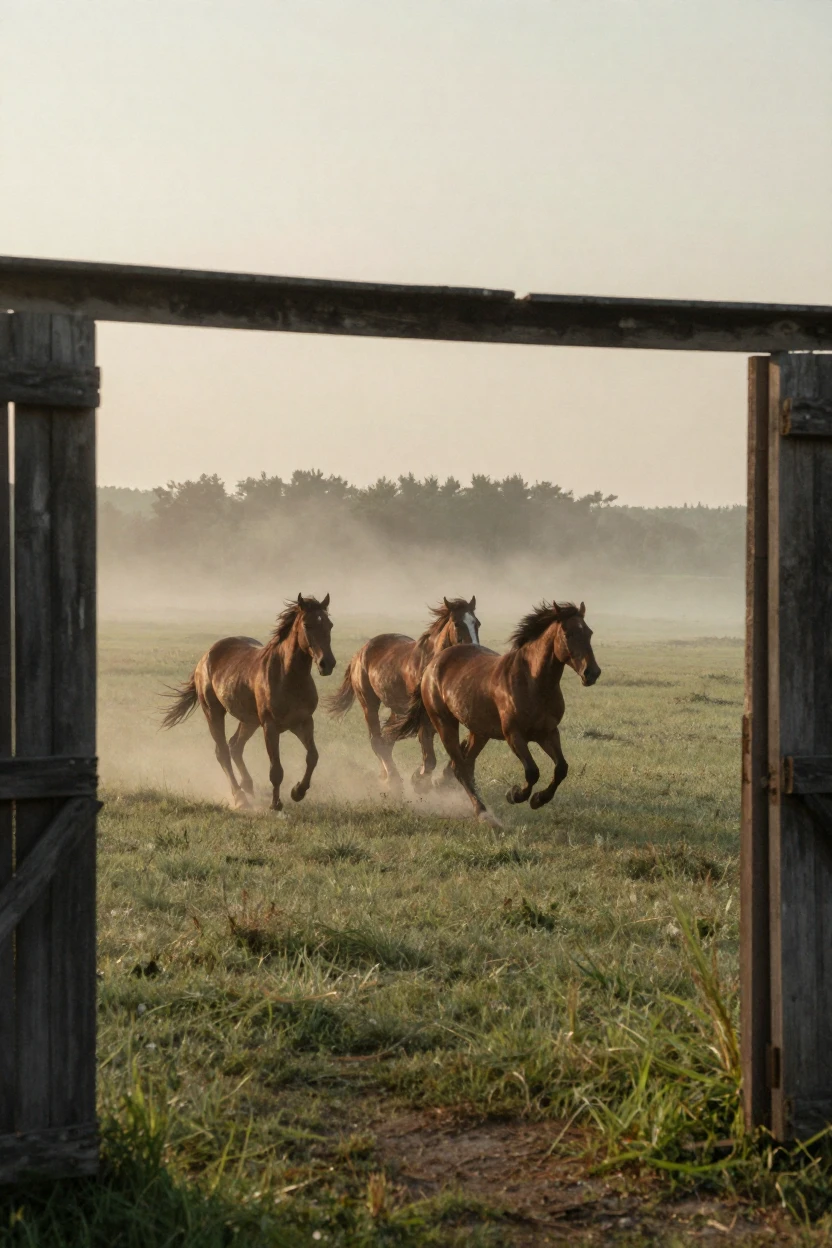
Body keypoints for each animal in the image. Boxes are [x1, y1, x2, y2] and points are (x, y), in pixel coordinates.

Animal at [161, 594, 335, 810]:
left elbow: (312, 757)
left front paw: (298, 791)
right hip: (214, 712)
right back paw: (240, 797)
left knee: (235, 746)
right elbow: (276, 769)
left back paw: (248, 786)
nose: (327, 664)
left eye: (329, 625)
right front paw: (275, 804)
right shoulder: (270, 726)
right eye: (307, 624)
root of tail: (204, 658)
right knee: (223, 752)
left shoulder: (303, 722)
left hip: (249, 721)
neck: (288, 677)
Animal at [326, 596, 480, 789]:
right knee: (377, 740)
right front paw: (419, 780)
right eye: (457, 623)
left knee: (386, 739)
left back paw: (385, 775)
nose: (473, 651)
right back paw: (393, 778)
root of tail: (359, 653)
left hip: (397, 710)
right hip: (369, 703)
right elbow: (429, 758)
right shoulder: (424, 718)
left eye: (477, 623)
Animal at [388, 600, 600, 822]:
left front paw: (538, 799)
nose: (592, 673)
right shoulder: (514, 734)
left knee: (464, 765)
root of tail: (433, 663)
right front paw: (515, 794)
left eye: (589, 632)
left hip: (479, 731)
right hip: (445, 723)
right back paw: (483, 813)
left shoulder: (548, 733)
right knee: (460, 767)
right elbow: (532, 771)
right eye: (568, 633)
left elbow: (561, 768)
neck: (532, 682)